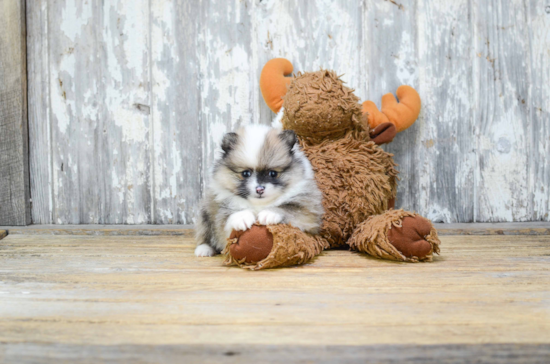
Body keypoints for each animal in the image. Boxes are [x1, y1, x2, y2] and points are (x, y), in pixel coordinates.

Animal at [195, 124, 324, 256]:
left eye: (273, 173)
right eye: (245, 173)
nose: (260, 189)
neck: (259, 205)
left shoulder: (308, 213)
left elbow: (287, 209)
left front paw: (269, 213)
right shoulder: (221, 213)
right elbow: (228, 219)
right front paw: (242, 217)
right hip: (204, 215)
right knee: (205, 234)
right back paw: (204, 249)